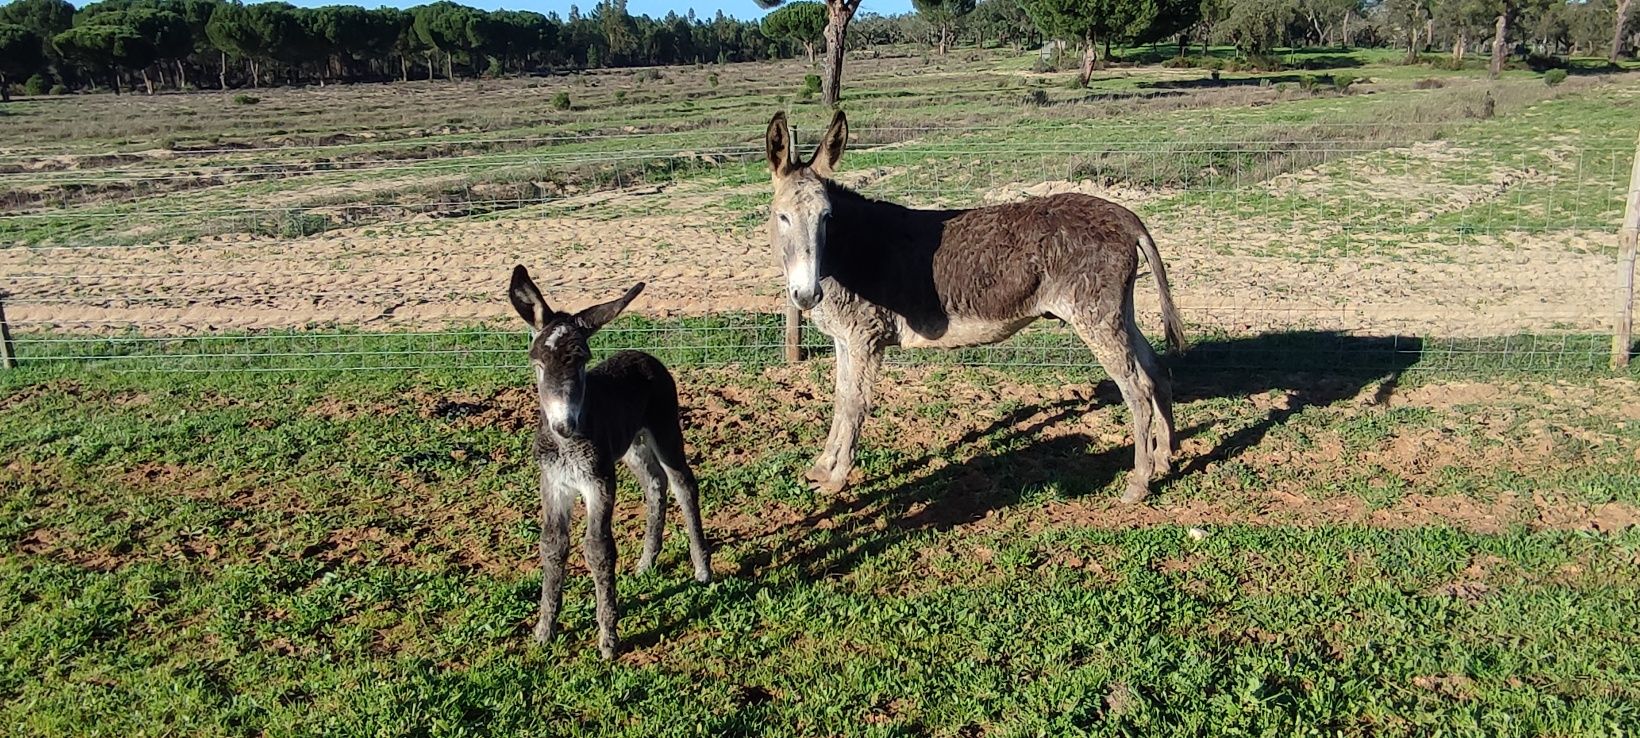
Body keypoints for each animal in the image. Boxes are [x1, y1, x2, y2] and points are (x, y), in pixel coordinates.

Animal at [505, 265, 711, 656]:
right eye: (537, 362)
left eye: (582, 360)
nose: (564, 425)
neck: (567, 446)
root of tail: (643, 354)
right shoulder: (553, 483)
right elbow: (552, 545)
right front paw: (544, 631)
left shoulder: (598, 481)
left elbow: (598, 548)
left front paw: (608, 639)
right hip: (632, 448)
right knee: (655, 484)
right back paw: (647, 562)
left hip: (665, 430)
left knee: (683, 484)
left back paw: (702, 569)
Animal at [760, 110, 1187, 501]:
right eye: (782, 217)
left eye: (826, 217)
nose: (806, 295)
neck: (844, 254)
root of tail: (1127, 217)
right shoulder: (844, 339)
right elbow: (838, 398)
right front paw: (821, 467)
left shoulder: (865, 337)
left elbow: (854, 404)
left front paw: (836, 479)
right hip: (1119, 313)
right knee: (1156, 372)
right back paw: (1165, 459)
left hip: (1094, 317)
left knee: (1137, 392)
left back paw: (1138, 484)